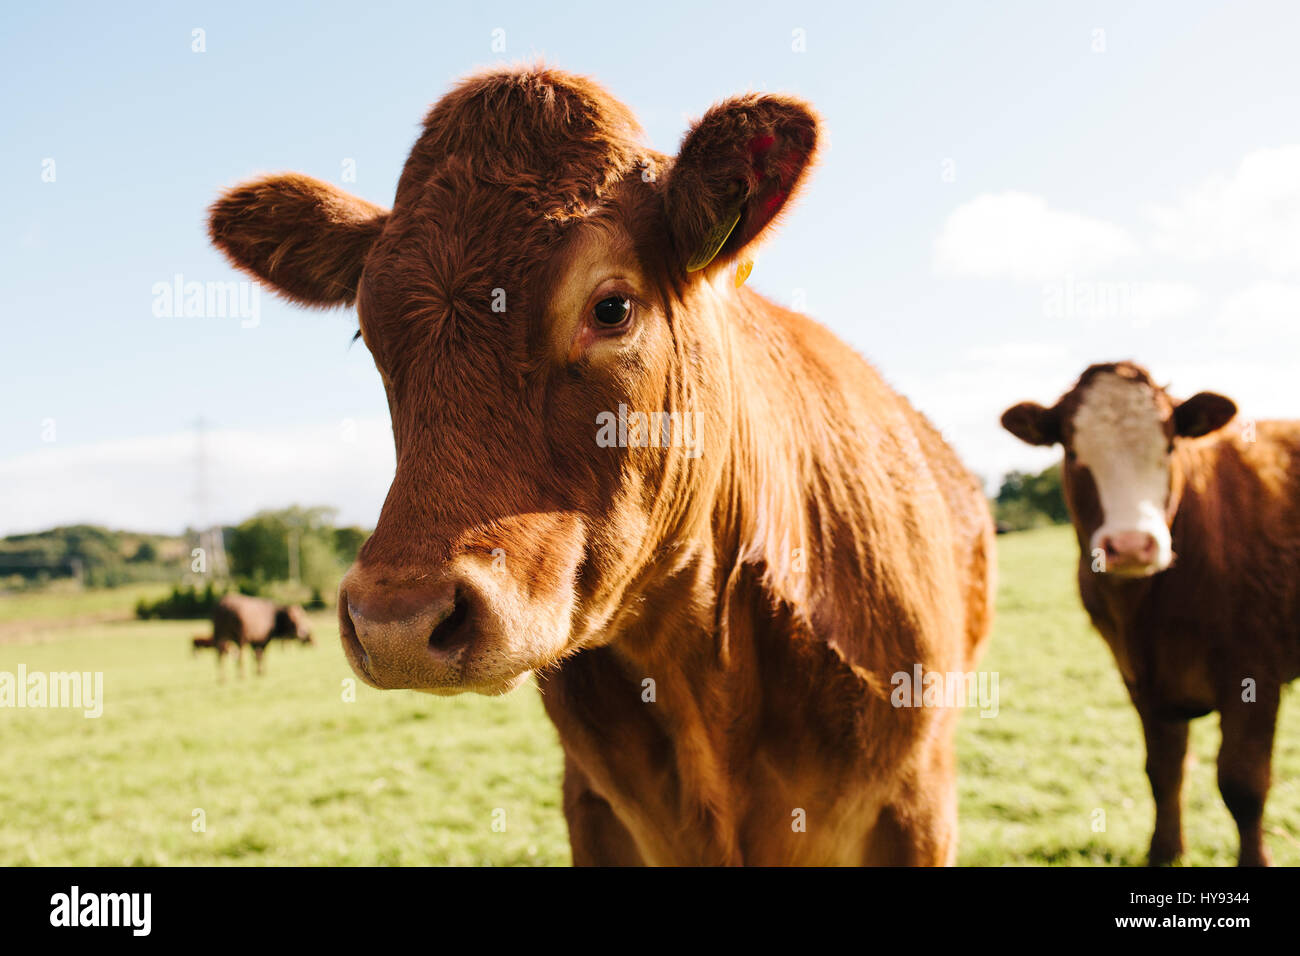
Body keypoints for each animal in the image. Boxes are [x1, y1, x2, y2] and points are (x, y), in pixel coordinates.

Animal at [1003, 361, 1300, 868]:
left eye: (1169, 445)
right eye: (1073, 451)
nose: (1129, 544)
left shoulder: (1254, 674)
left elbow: (1243, 784)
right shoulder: (1140, 678)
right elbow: (1162, 771)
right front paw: (1163, 852)